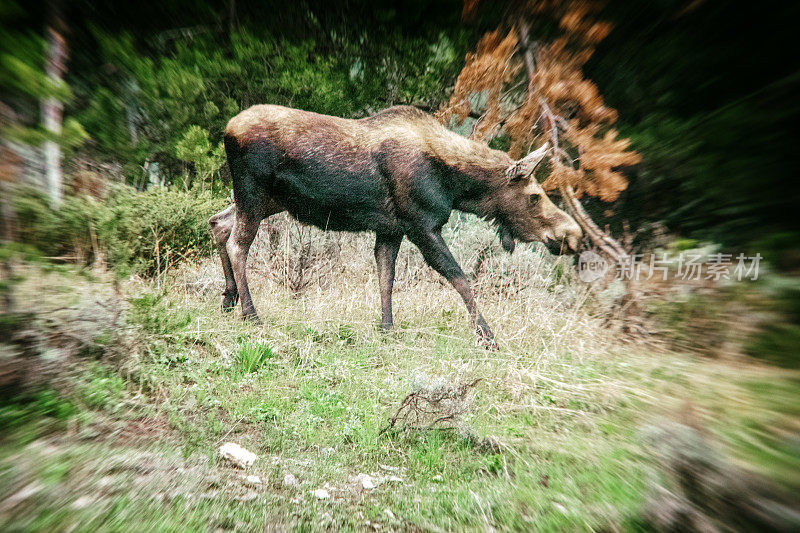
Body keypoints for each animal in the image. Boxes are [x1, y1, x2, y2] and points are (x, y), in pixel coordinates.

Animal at [208, 104, 580, 344]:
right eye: (534, 196)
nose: (572, 234)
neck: (455, 185)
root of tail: (228, 129)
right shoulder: (422, 225)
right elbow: (461, 279)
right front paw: (487, 336)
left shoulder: (391, 229)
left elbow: (386, 278)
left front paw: (387, 327)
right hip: (254, 191)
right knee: (238, 243)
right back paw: (250, 313)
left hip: (267, 200)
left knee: (218, 223)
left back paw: (228, 299)